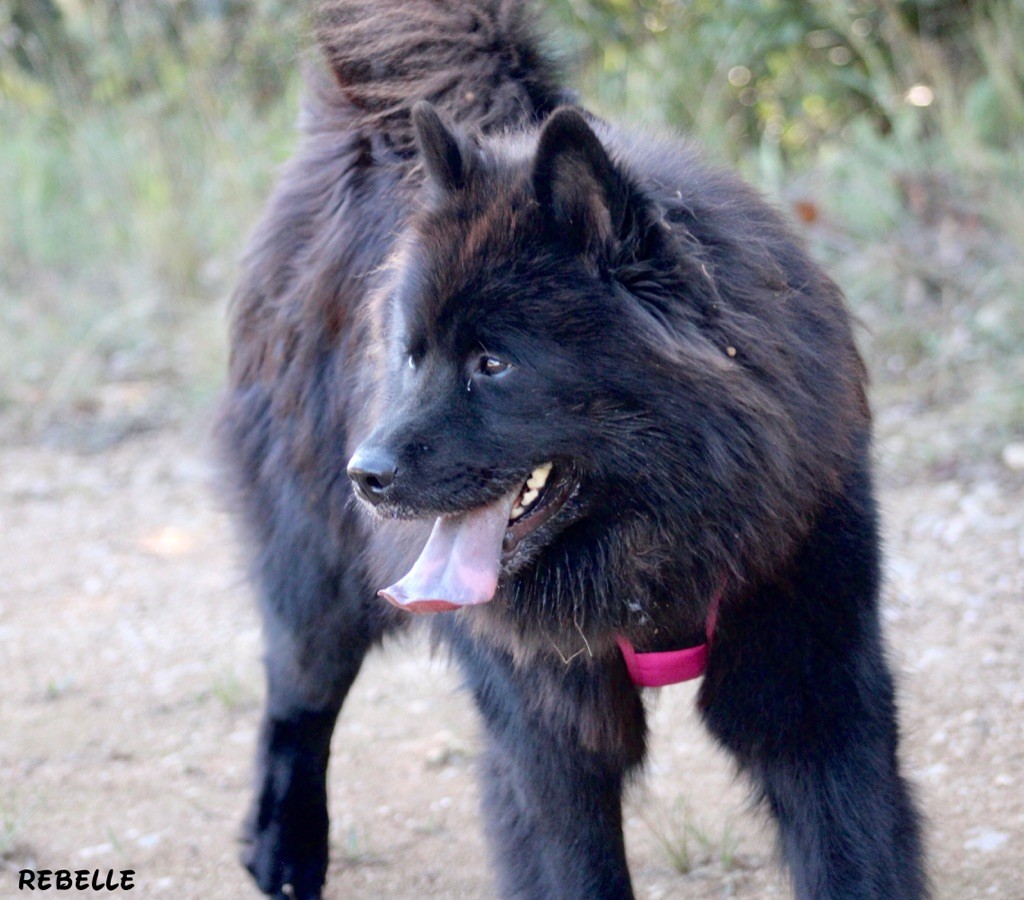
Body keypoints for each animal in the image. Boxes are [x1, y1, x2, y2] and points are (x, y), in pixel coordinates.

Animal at [220, 3, 933, 896]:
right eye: (411, 355)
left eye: (493, 364)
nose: (367, 475)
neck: (656, 554)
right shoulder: (548, 741)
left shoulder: (817, 694)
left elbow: (854, 853)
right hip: (315, 572)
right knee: (298, 695)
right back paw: (283, 846)